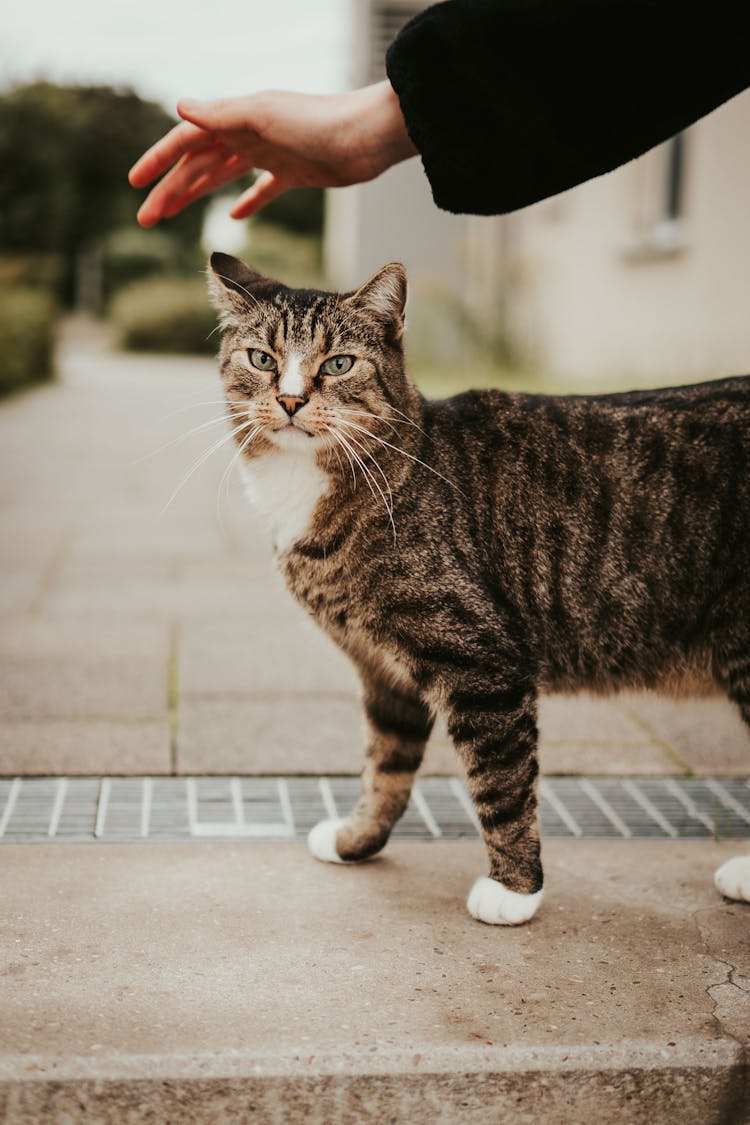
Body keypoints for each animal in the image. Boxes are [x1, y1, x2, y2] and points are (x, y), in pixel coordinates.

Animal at [206, 253, 750, 922]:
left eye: (337, 364)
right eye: (262, 359)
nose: (288, 398)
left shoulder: (482, 662)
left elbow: (502, 786)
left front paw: (514, 890)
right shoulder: (383, 670)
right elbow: (386, 766)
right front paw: (357, 838)